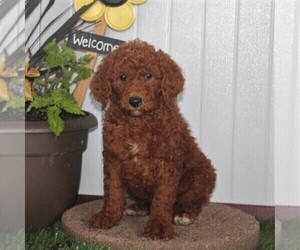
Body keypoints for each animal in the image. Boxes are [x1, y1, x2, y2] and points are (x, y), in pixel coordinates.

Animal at [89, 40, 216, 239]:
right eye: (122, 77)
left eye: (148, 76)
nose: (135, 101)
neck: (137, 122)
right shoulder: (113, 159)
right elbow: (112, 191)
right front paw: (108, 217)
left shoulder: (167, 163)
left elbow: (162, 197)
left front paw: (158, 226)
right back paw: (138, 207)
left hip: (201, 174)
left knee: (193, 200)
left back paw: (184, 213)